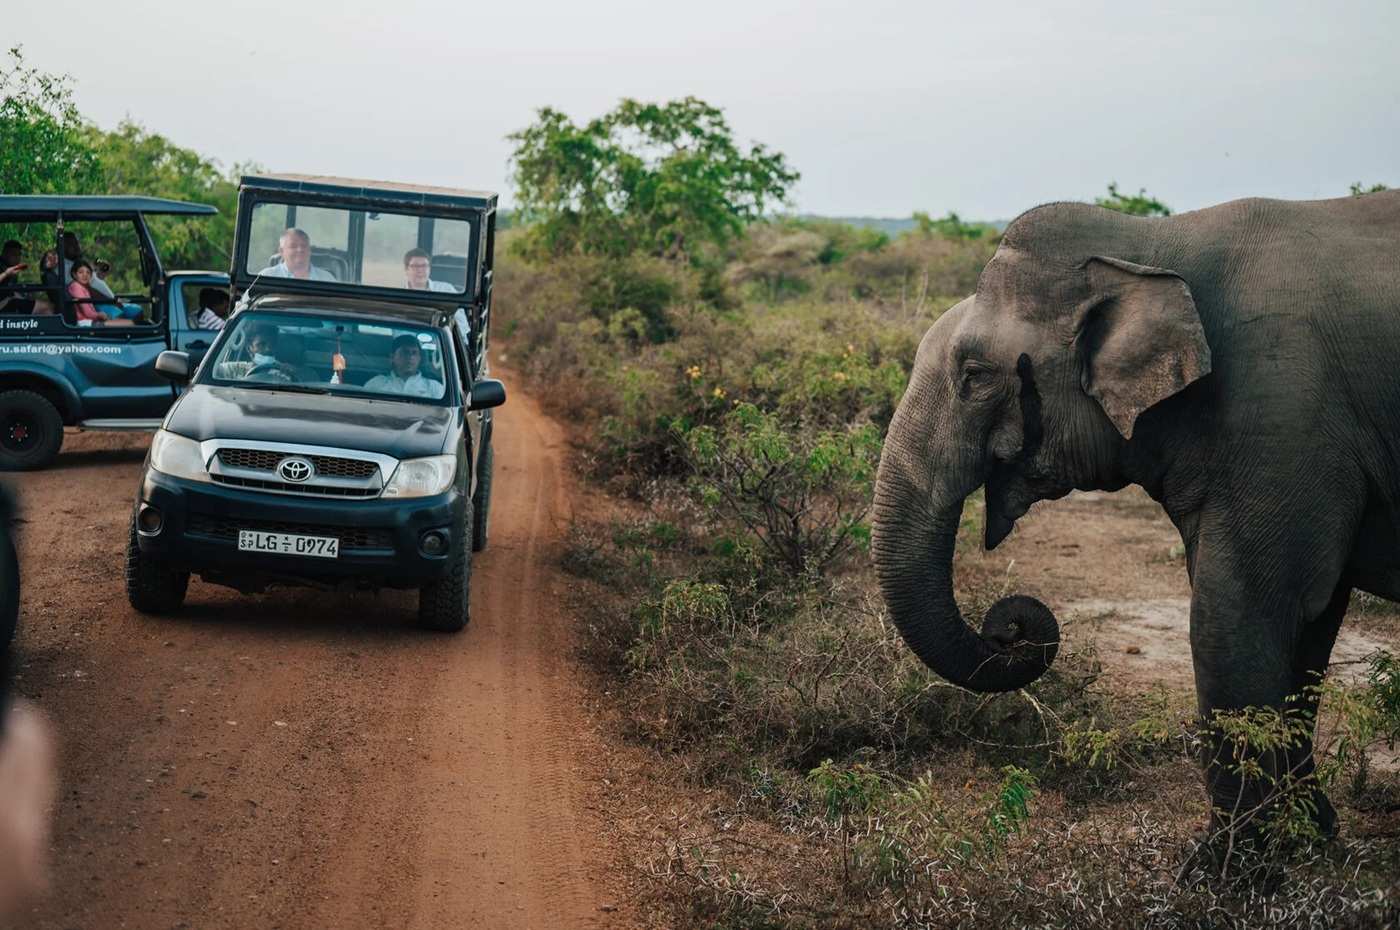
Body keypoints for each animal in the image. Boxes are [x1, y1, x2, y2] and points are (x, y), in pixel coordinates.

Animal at [872, 191, 1400, 843]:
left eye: (975, 376)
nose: (1007, 627)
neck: (1148, 242)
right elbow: (1308, 620)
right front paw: (1308, 837)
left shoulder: (1282, 414)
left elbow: (1235, 612)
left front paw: (1227, 863)